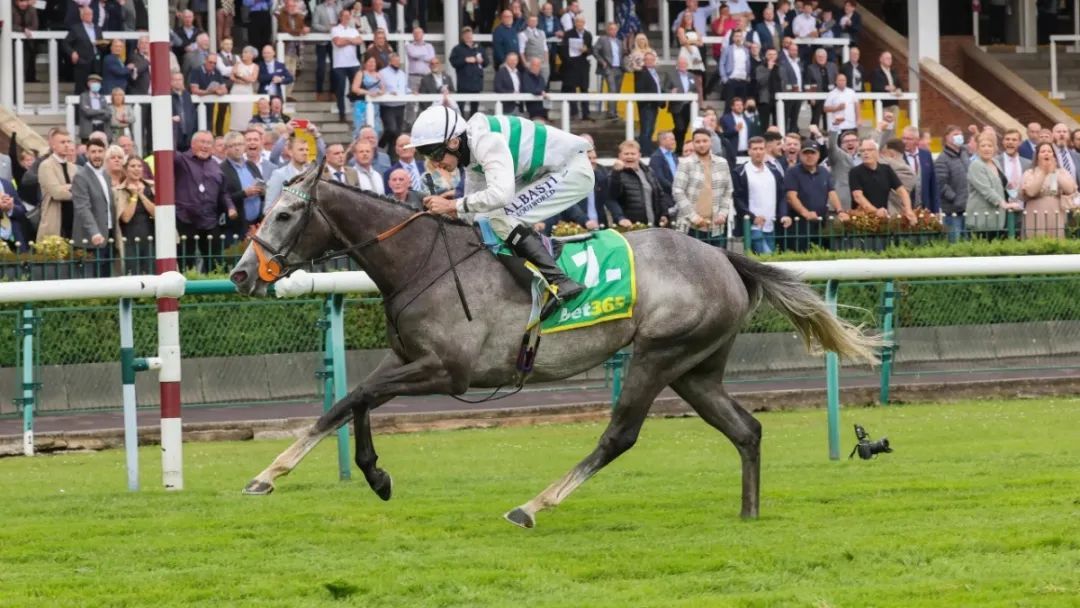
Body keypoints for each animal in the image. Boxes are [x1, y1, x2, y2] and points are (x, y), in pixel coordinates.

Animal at [228, 162, 879, 528]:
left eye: (284, 215)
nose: (239, 274)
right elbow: (350, 402)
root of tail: (724, 256)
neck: (420, 263)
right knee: (746, 430)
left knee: (620, 436)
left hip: (658, 355)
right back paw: (748, 513)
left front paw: (295, 474)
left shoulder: (448, 371)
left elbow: (354, 397)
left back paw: (532, 507)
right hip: (695, 369)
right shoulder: (409, 359)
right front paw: (351, 474)